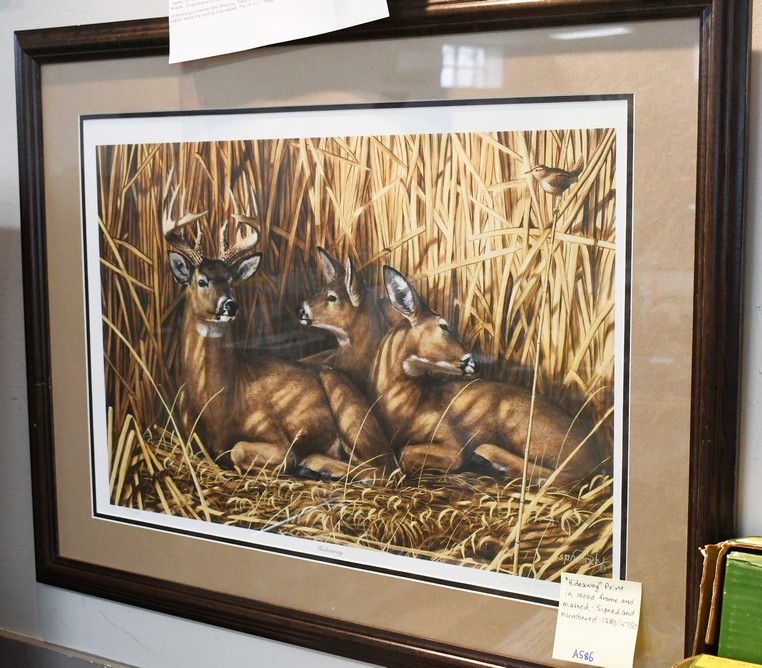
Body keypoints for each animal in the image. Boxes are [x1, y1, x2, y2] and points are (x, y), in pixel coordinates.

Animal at [368, 266, 608, 487]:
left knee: (564, 474)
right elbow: (400, 452)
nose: (474, 362)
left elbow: (405, 453)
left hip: (520, 424)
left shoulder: (453, 441)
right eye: (444, 326)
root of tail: (598, 458)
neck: (403, 408)